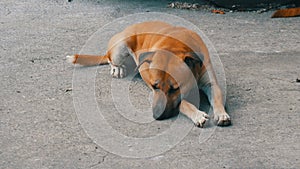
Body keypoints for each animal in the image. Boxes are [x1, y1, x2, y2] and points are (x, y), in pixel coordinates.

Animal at [67, 21, 231, 127]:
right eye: (154, 86)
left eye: (175, 88)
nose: (156, 116)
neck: (177, 46)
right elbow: (184, 103)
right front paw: (197, 114)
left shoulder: (211, 83)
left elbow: (217, 97)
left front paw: (221, 113)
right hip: (121, 46)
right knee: (109, 59)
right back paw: (117, 68)